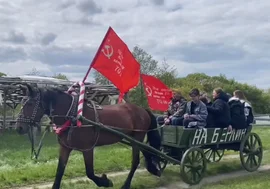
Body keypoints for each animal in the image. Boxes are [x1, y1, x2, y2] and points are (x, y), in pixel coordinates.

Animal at [15, 84, 160, 189]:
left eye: (30, 104)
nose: (19, 127)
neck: (73, 115)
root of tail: (142, 109)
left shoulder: (87, 149)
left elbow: (89, 172)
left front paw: (105, 182)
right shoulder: (65, 148)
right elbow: (59, 172)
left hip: (137, 137)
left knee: (135, 161)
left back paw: (126, 185)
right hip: (134, 138)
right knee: (146, 151)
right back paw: (154, 169)